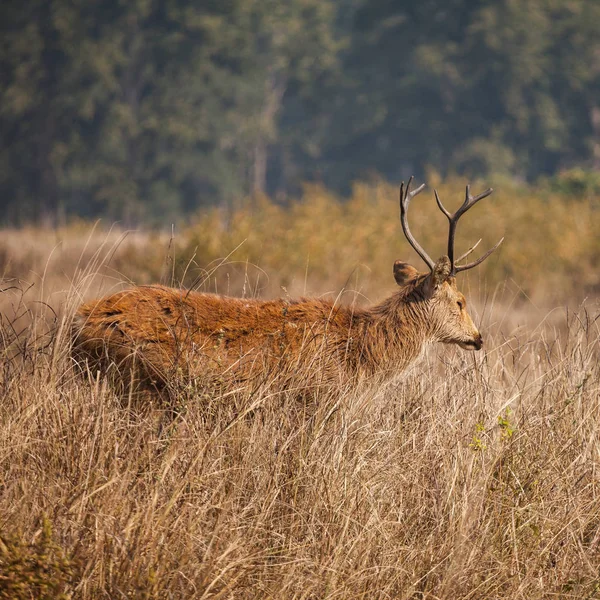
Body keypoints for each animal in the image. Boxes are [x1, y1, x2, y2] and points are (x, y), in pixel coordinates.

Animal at [71, 180, 502, 398]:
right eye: (460, 300)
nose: (479, 338)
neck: (361, 355)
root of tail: (80, 323)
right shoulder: (313, 400)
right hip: (141, 380)